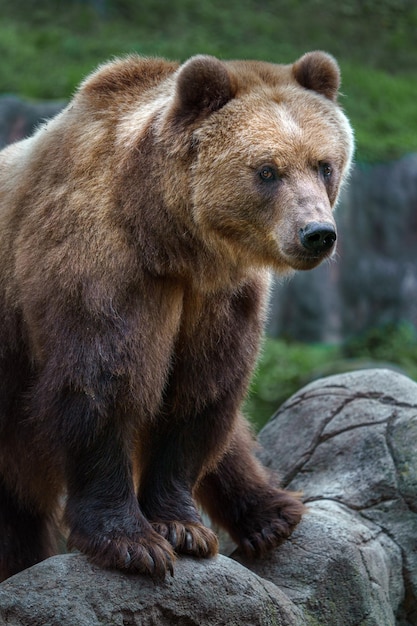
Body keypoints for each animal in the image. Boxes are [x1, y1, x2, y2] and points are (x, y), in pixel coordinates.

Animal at [0, 51, 352, 576]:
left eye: (324, 165)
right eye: (268, 171)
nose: (317, 233)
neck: (174, 244)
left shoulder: (219, 298)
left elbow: (199, 396)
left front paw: (182, 527)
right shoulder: (102, 266)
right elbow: (104, 385)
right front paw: (132, 543)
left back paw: (270, 515)